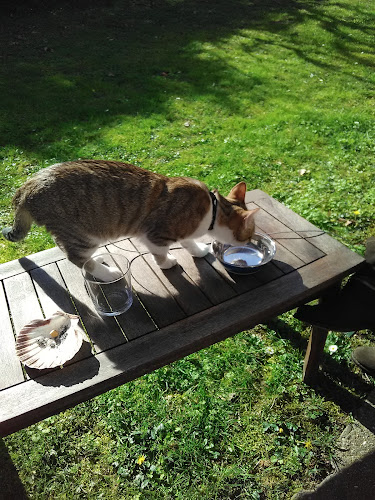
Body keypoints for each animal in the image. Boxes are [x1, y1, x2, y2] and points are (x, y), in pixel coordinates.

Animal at [2, 159, 258, 278]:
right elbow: (161, 254)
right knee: (76, 258)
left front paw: (198, 250)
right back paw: (106, 273)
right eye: (250, 234)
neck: (211, 210)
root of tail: (28, 186)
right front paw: (167, 263)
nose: (250, 242)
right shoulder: (155, 235)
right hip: (83, 235)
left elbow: (189, 243)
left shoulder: (183, 232)